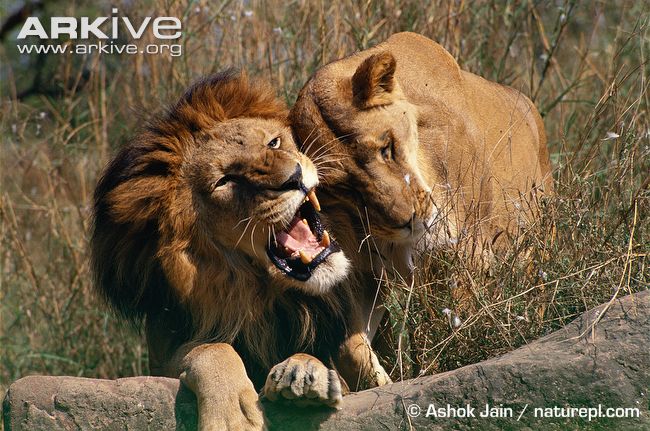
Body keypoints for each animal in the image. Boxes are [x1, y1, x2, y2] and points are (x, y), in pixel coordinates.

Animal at [91, 71, 381, 430]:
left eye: (274, 143)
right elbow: (211, 348)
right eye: (225, 180)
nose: (295, 177)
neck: (268, 296)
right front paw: (233, 416)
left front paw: (304, 371)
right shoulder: (166, 352)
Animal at [290, 32, 554, 360]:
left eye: (386, 148)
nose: (409, 220)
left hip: (538, 241)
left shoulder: (469, 252)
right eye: (343, 188)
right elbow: (350, 347)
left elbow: (458, 327)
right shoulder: (366, 273)